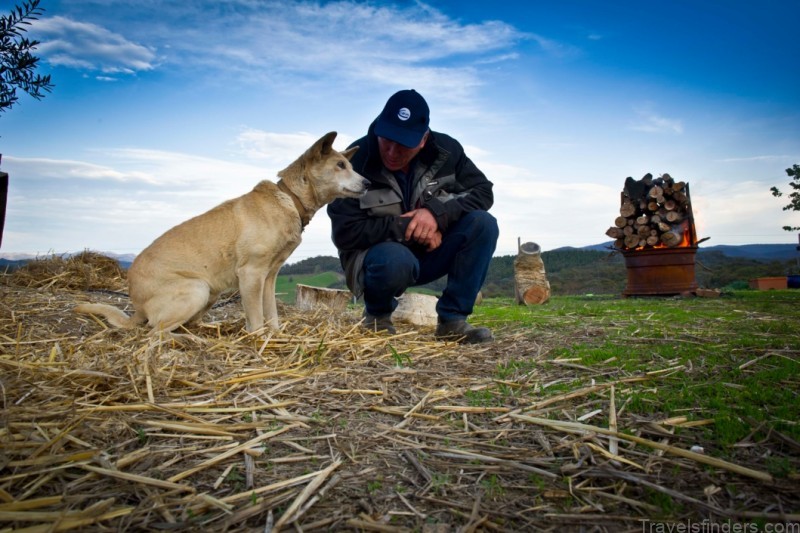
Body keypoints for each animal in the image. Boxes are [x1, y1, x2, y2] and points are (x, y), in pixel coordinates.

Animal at [75, 131, 367, 333]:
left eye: (350, 165)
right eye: (340, 165)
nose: (367, 183)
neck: (289, 199)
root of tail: (136, 307)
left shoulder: (269, 277)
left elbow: (271, 313)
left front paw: (276, 336)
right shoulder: (251, 274)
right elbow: (256, 319)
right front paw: (258, 340)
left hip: (209, 293)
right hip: (197, 288)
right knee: (155, 332)